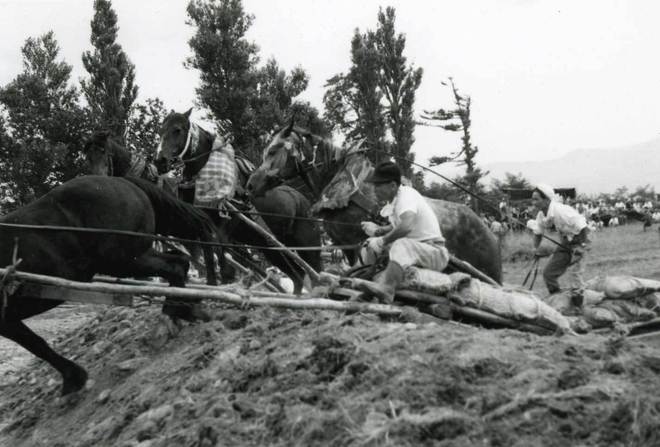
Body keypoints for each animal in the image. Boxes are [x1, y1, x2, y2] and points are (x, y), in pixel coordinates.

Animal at [0, 175, 220, 396]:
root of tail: (122, 180)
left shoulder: (6, 319)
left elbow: (36, 345)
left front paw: (73, 378)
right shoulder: (8, 319)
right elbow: (35, 344)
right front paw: (74, 377)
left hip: (122, 260)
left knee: (174, 267)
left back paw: (177, 311)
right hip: (132, 257)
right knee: (180, 262)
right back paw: (187, 307)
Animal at [153, 109, 322, 294]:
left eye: (177, 130)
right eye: (160, 131)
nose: (160, 161)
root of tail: (304, 201)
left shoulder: (225, 228)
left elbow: (222, 260)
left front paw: (225, 283)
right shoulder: (201, 225)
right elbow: (208, 257)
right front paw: (211, 284)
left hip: (308, 246)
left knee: (315, 274)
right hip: (271, 247)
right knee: (297, 275)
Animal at [245, 121, 502, 284]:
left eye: (274, 150)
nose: (250, 185)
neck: (347, 191)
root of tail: (489, 231)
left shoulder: (356, 242)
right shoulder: (345, 246)